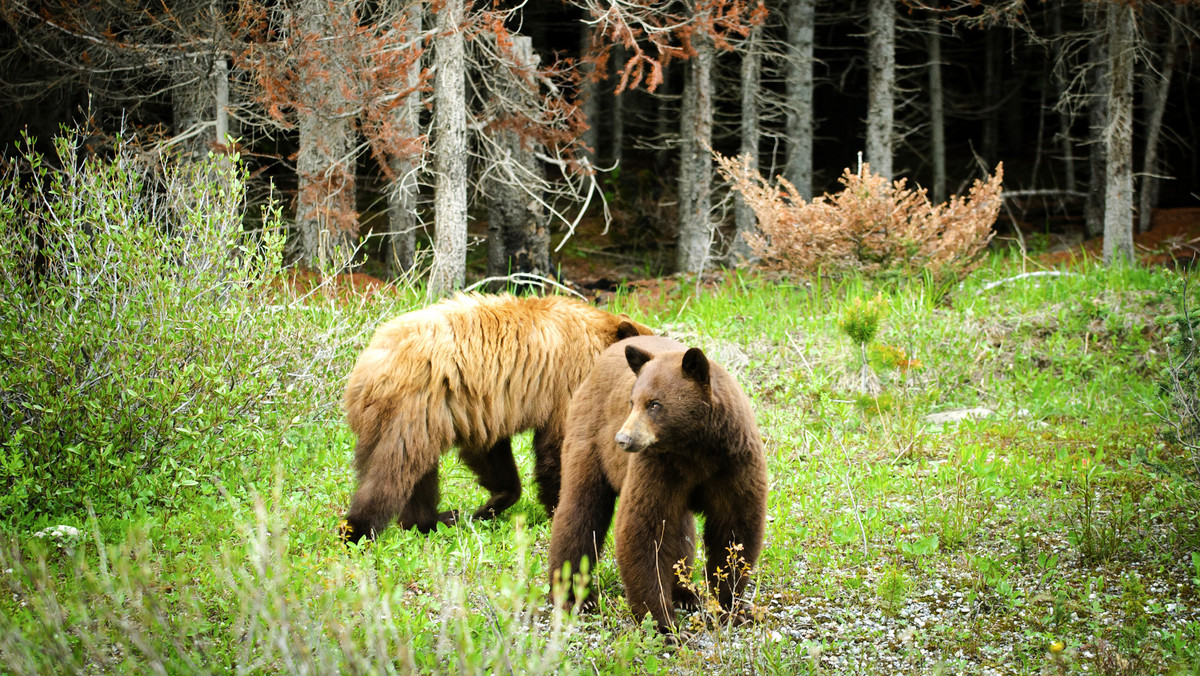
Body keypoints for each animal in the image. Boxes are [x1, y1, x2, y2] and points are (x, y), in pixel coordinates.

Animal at [343, 294, 652, 542]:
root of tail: (368, 366)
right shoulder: (567, 383)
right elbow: (559, 448)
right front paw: (557, 507)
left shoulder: (482, 408)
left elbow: (490, 453)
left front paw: (490, 505)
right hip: (413, 410)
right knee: (391, 473)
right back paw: (357, 530)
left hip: (417, 417)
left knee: (418, 477)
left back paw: (434, 519)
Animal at [547, 336, 763, 638]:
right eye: (632, 402)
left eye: (655, 404)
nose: (623, 439)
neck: (695, 448)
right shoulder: (656, 467)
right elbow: (643, 529)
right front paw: (665, 625)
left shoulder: (733, 463)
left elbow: (734, 527)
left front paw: (730, 607)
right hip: (587, 437)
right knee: (579, 509)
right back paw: (574, 595)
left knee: (680, 530)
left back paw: (685, 594)